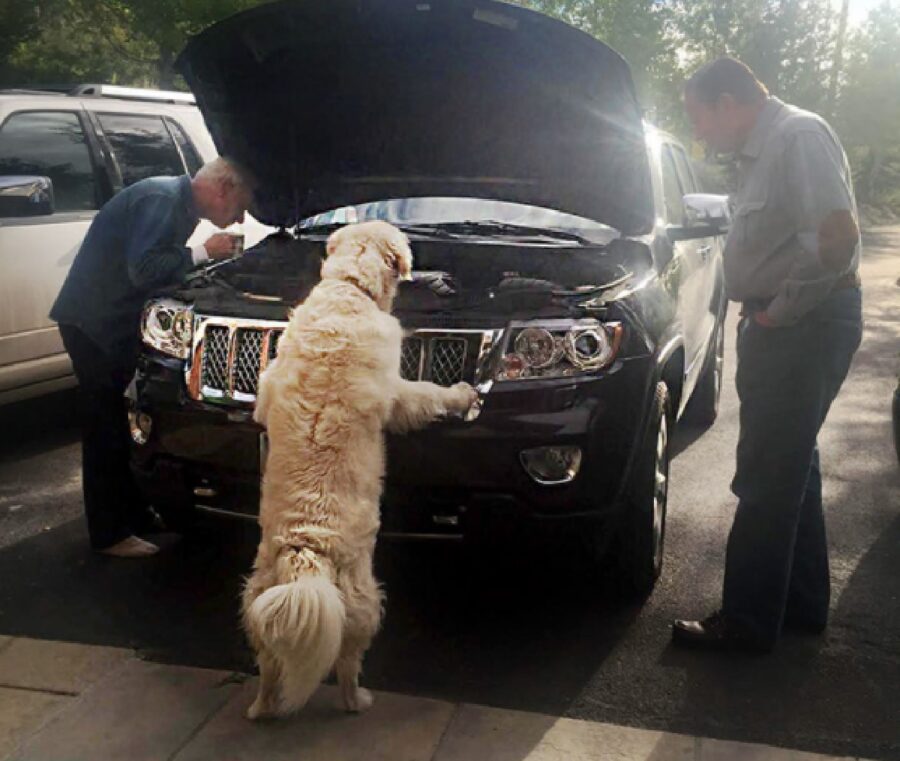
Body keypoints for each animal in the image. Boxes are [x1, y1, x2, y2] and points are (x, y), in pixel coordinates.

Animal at [239, 220, 478, 720]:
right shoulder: (398, 391)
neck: (348, 289)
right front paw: (462, 394)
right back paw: (357, 701)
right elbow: (428, 394)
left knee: (269, 668)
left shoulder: (269, 385)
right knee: (348, 664)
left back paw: (261, 708)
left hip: (258, 601)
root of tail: (306, 554)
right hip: (363, 602)